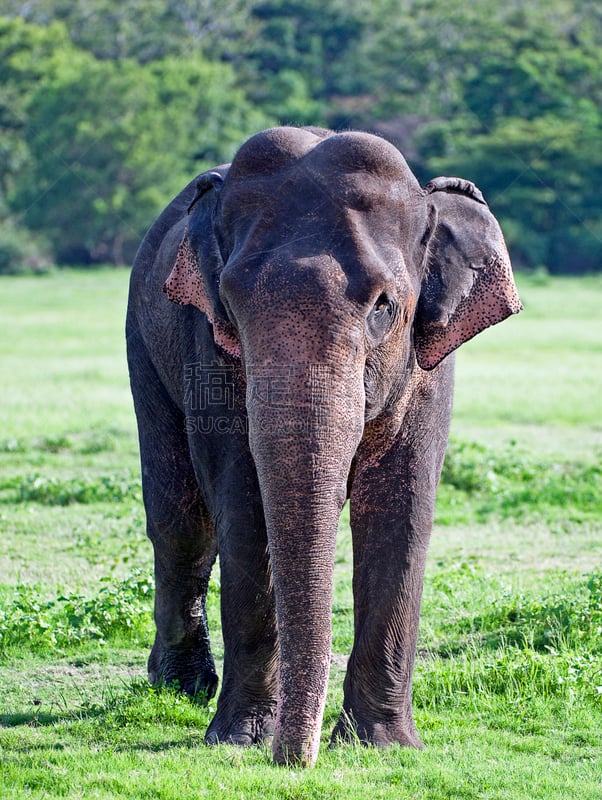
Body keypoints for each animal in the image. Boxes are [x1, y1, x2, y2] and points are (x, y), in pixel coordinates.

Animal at [127, 126, 520, 768]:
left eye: (385, 305)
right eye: (230, 302)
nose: (291, 761)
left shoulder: (429, 367)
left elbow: (403, 507)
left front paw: (380, 744)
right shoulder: (205, 345)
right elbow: (242, 503)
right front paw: (240, 738)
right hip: (141, 339)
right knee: (180, 519)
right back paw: (181, 688)